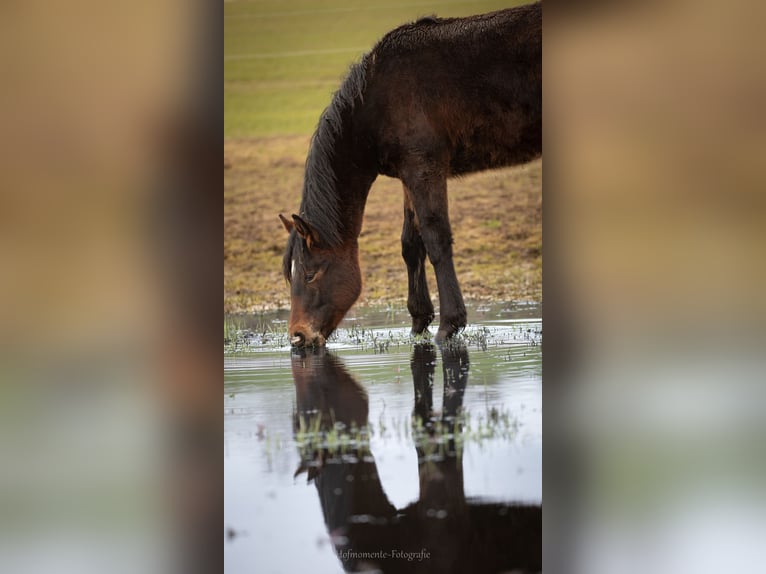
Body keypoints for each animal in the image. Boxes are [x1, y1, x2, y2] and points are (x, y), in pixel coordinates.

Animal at [281, 2, 542, 346]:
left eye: (310, 274)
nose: (298, 337)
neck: (377, 99)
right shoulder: (409, 175)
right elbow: (410, 243)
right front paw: (419, 321)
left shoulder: (424, 169)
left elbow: (435, 239)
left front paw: (449, 324)